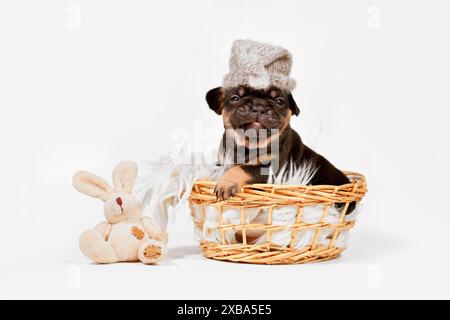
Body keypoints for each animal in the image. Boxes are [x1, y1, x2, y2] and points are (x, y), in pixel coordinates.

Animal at [207, 85, 356, 212]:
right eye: (235, 98)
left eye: (279, 101)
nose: (259, 106)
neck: (248, 146)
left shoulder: (271, 169)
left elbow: (241, 168)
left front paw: (225, 183)